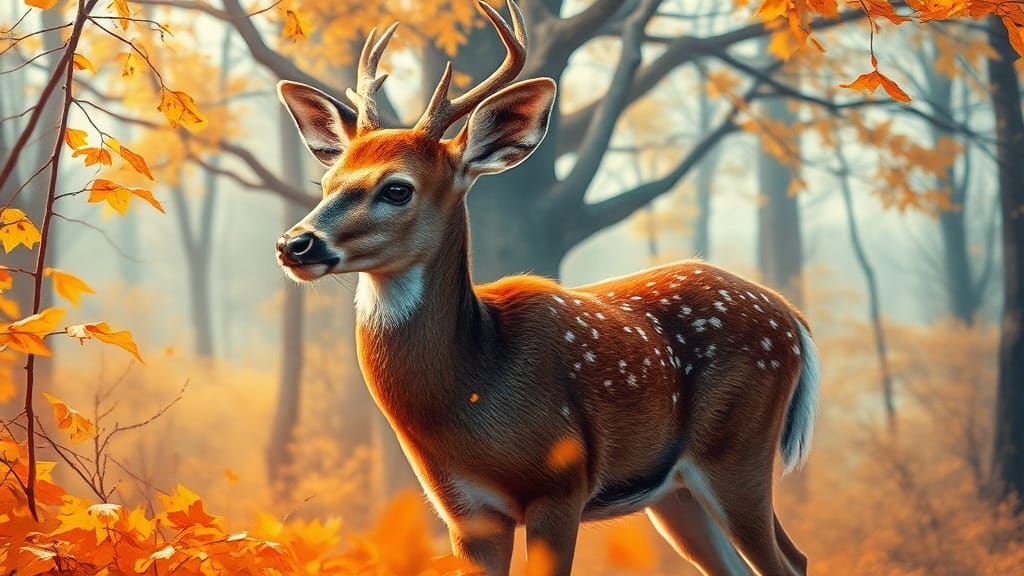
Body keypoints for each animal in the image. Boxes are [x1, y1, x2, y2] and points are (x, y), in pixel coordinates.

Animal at [274, 2, 819, 575]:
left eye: (397, 189)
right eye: (325, 182)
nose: (295, 244)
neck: (474, 387)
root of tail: (793, 318)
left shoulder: (561, 484)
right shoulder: (464, 510)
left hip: (736, 449)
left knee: (790, 559)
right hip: (675, 491)